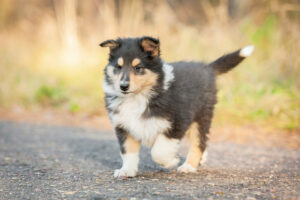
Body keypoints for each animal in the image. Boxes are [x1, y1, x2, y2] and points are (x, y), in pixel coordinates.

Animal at [100, 36, 253, 178]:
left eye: (138, 68)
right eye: (118, 67)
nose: (123, 86)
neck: (138, 96)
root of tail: (207, 68)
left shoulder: (177, 121)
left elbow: (158, 152)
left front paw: (172, 161)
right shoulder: (123, 126)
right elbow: (128, 151)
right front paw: (126, 171)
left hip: (201, 116)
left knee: (198, 143)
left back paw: (188, 166)